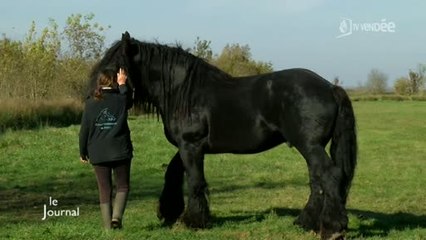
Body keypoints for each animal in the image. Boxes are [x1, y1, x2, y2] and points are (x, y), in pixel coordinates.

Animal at [90, 31, 356, 238]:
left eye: (114, 65)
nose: (96, 93)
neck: (183, 91)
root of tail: (330, 87)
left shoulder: (191, 146)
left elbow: (195, 181)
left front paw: (193, 221)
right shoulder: (187, 146)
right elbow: (173, 173)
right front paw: (169, 212)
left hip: (309, 145)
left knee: (330, 176)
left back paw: (332, 228)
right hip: (311, 146)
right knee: (317, 182)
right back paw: (306, 223)